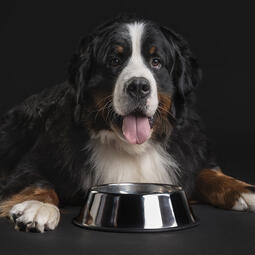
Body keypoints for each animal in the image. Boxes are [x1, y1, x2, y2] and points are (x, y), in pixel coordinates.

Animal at [0, 14, 255, 233]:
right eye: (114, 60)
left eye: (156, 62)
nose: (138, 86)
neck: (132, 148)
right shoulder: (37, 161)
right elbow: (39, 182)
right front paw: (37, 206)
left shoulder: (188, 155)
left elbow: (207, 172)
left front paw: (244, 189)